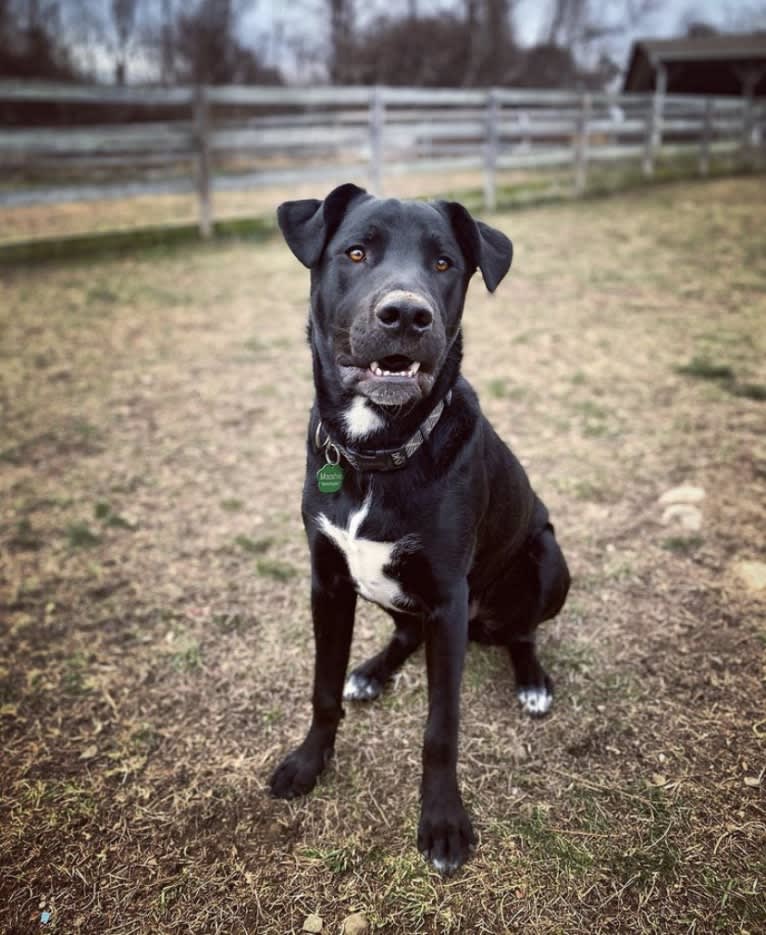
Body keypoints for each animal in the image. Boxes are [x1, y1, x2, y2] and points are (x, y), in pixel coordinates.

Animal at [270, 185, 568, 876]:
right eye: (356, 252)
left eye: (443, 264)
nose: (406, 315)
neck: (375, 453)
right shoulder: (328, 582)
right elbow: (322, 687)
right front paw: (309, 763)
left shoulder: (448, 599)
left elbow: (440, 727)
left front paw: (443, 823)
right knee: (404, 631)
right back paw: (373, 671)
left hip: (547, 559)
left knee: (522, 633)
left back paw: (532, 682)